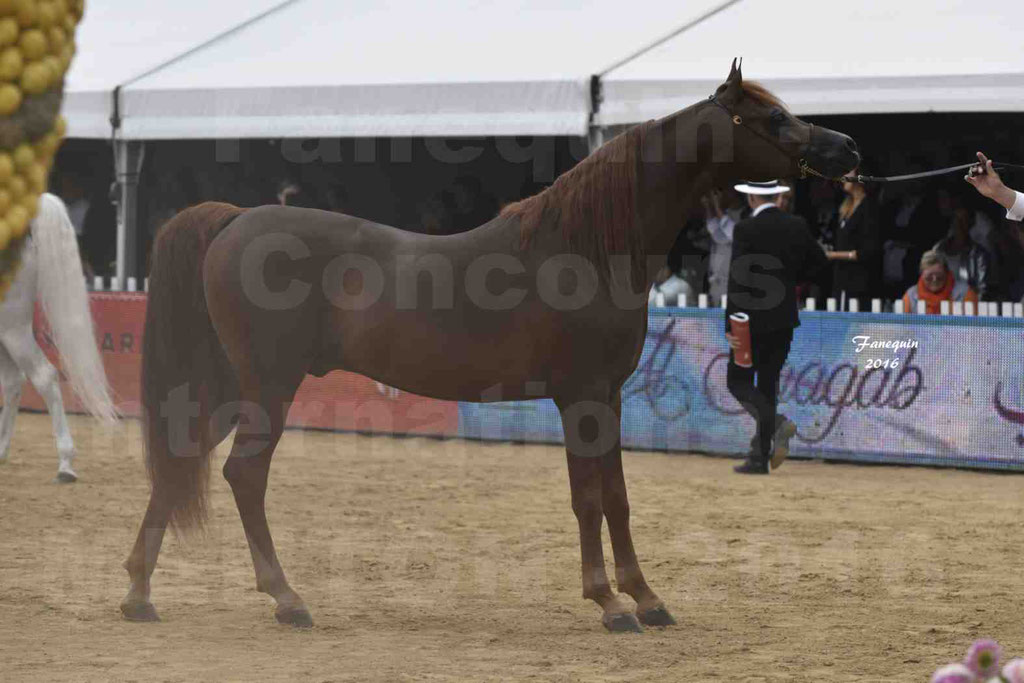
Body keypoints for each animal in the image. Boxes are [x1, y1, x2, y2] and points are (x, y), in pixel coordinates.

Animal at [117, 61, 856, 634]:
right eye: (775, 119)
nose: (848, 148)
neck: (586, 247)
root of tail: (236, 219)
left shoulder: (608, 397)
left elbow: (616, 496)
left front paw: (646, 598)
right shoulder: (580, 397)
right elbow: (588, 497)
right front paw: (610, 603)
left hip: (229, 385)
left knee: (179, 462)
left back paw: (139, 594)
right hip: (268, 386)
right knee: (243, 474)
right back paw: (287, 599)